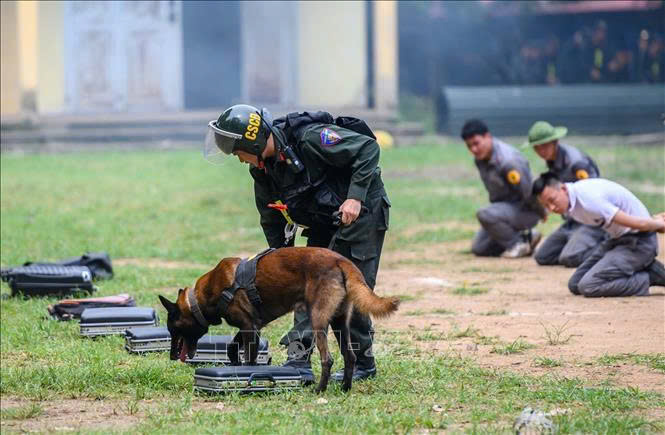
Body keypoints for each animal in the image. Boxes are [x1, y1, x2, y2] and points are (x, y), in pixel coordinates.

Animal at [160, 247, 400, 394]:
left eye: (173, 329)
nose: (171, 356)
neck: (205, 295)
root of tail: (340, 260)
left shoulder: (249, 328)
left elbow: (250, 359)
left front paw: (248, 374)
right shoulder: (251, 326)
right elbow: (231, 347)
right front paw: (235, 364)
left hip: (318, 321)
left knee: (328, 359)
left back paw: (319, 390)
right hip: (340, 324)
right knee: (350, 356)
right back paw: (345, 388)